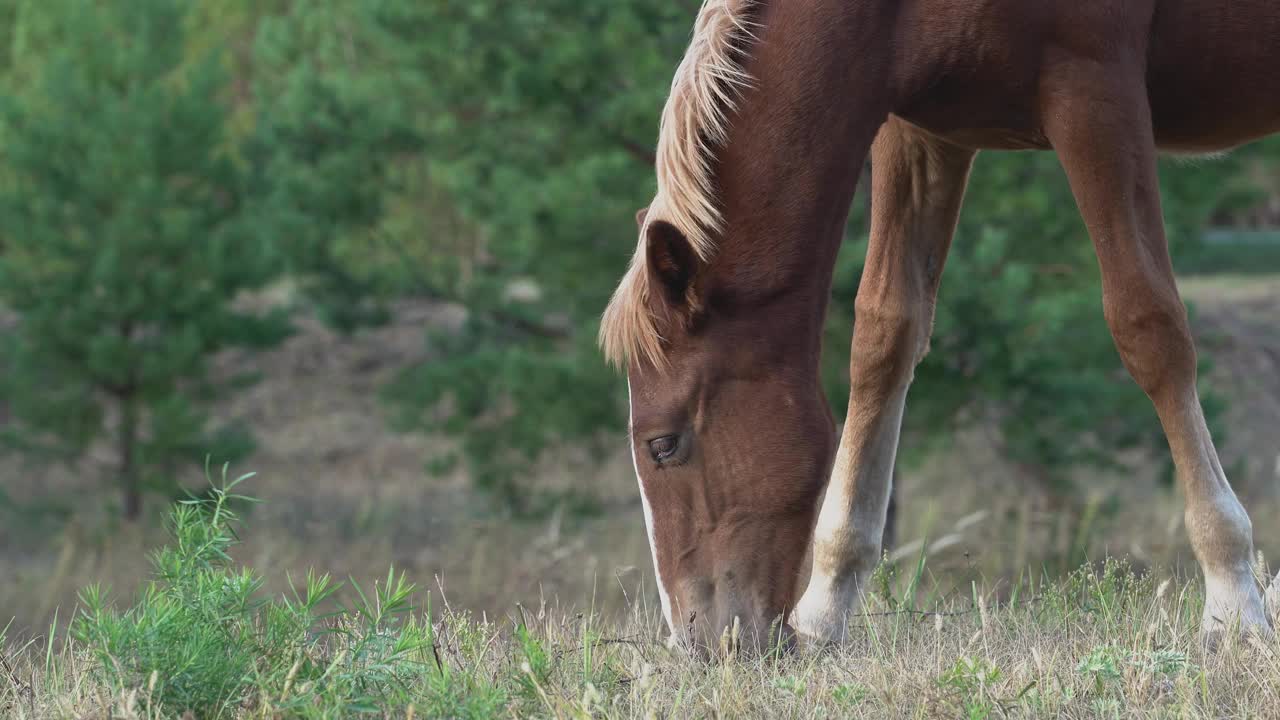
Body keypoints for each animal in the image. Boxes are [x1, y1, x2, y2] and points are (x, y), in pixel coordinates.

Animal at [599, 0, 1280, 653]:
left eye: (663, 445)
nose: (698, 643)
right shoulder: (919, 132)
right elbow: (885, 333)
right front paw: (826, 607)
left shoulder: (1096, 94)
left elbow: (1147, 326)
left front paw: (1233, 600)